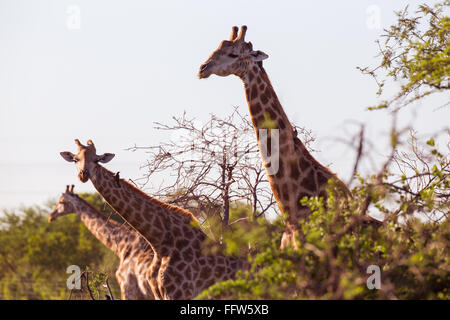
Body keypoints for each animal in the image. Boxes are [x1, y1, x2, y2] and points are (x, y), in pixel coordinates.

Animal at [59, 139, 246, 298]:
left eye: (97, 160)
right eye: (75, 159)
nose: (83, 174)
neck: (160, 242)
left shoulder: (177, 293)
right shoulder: (157, 293)